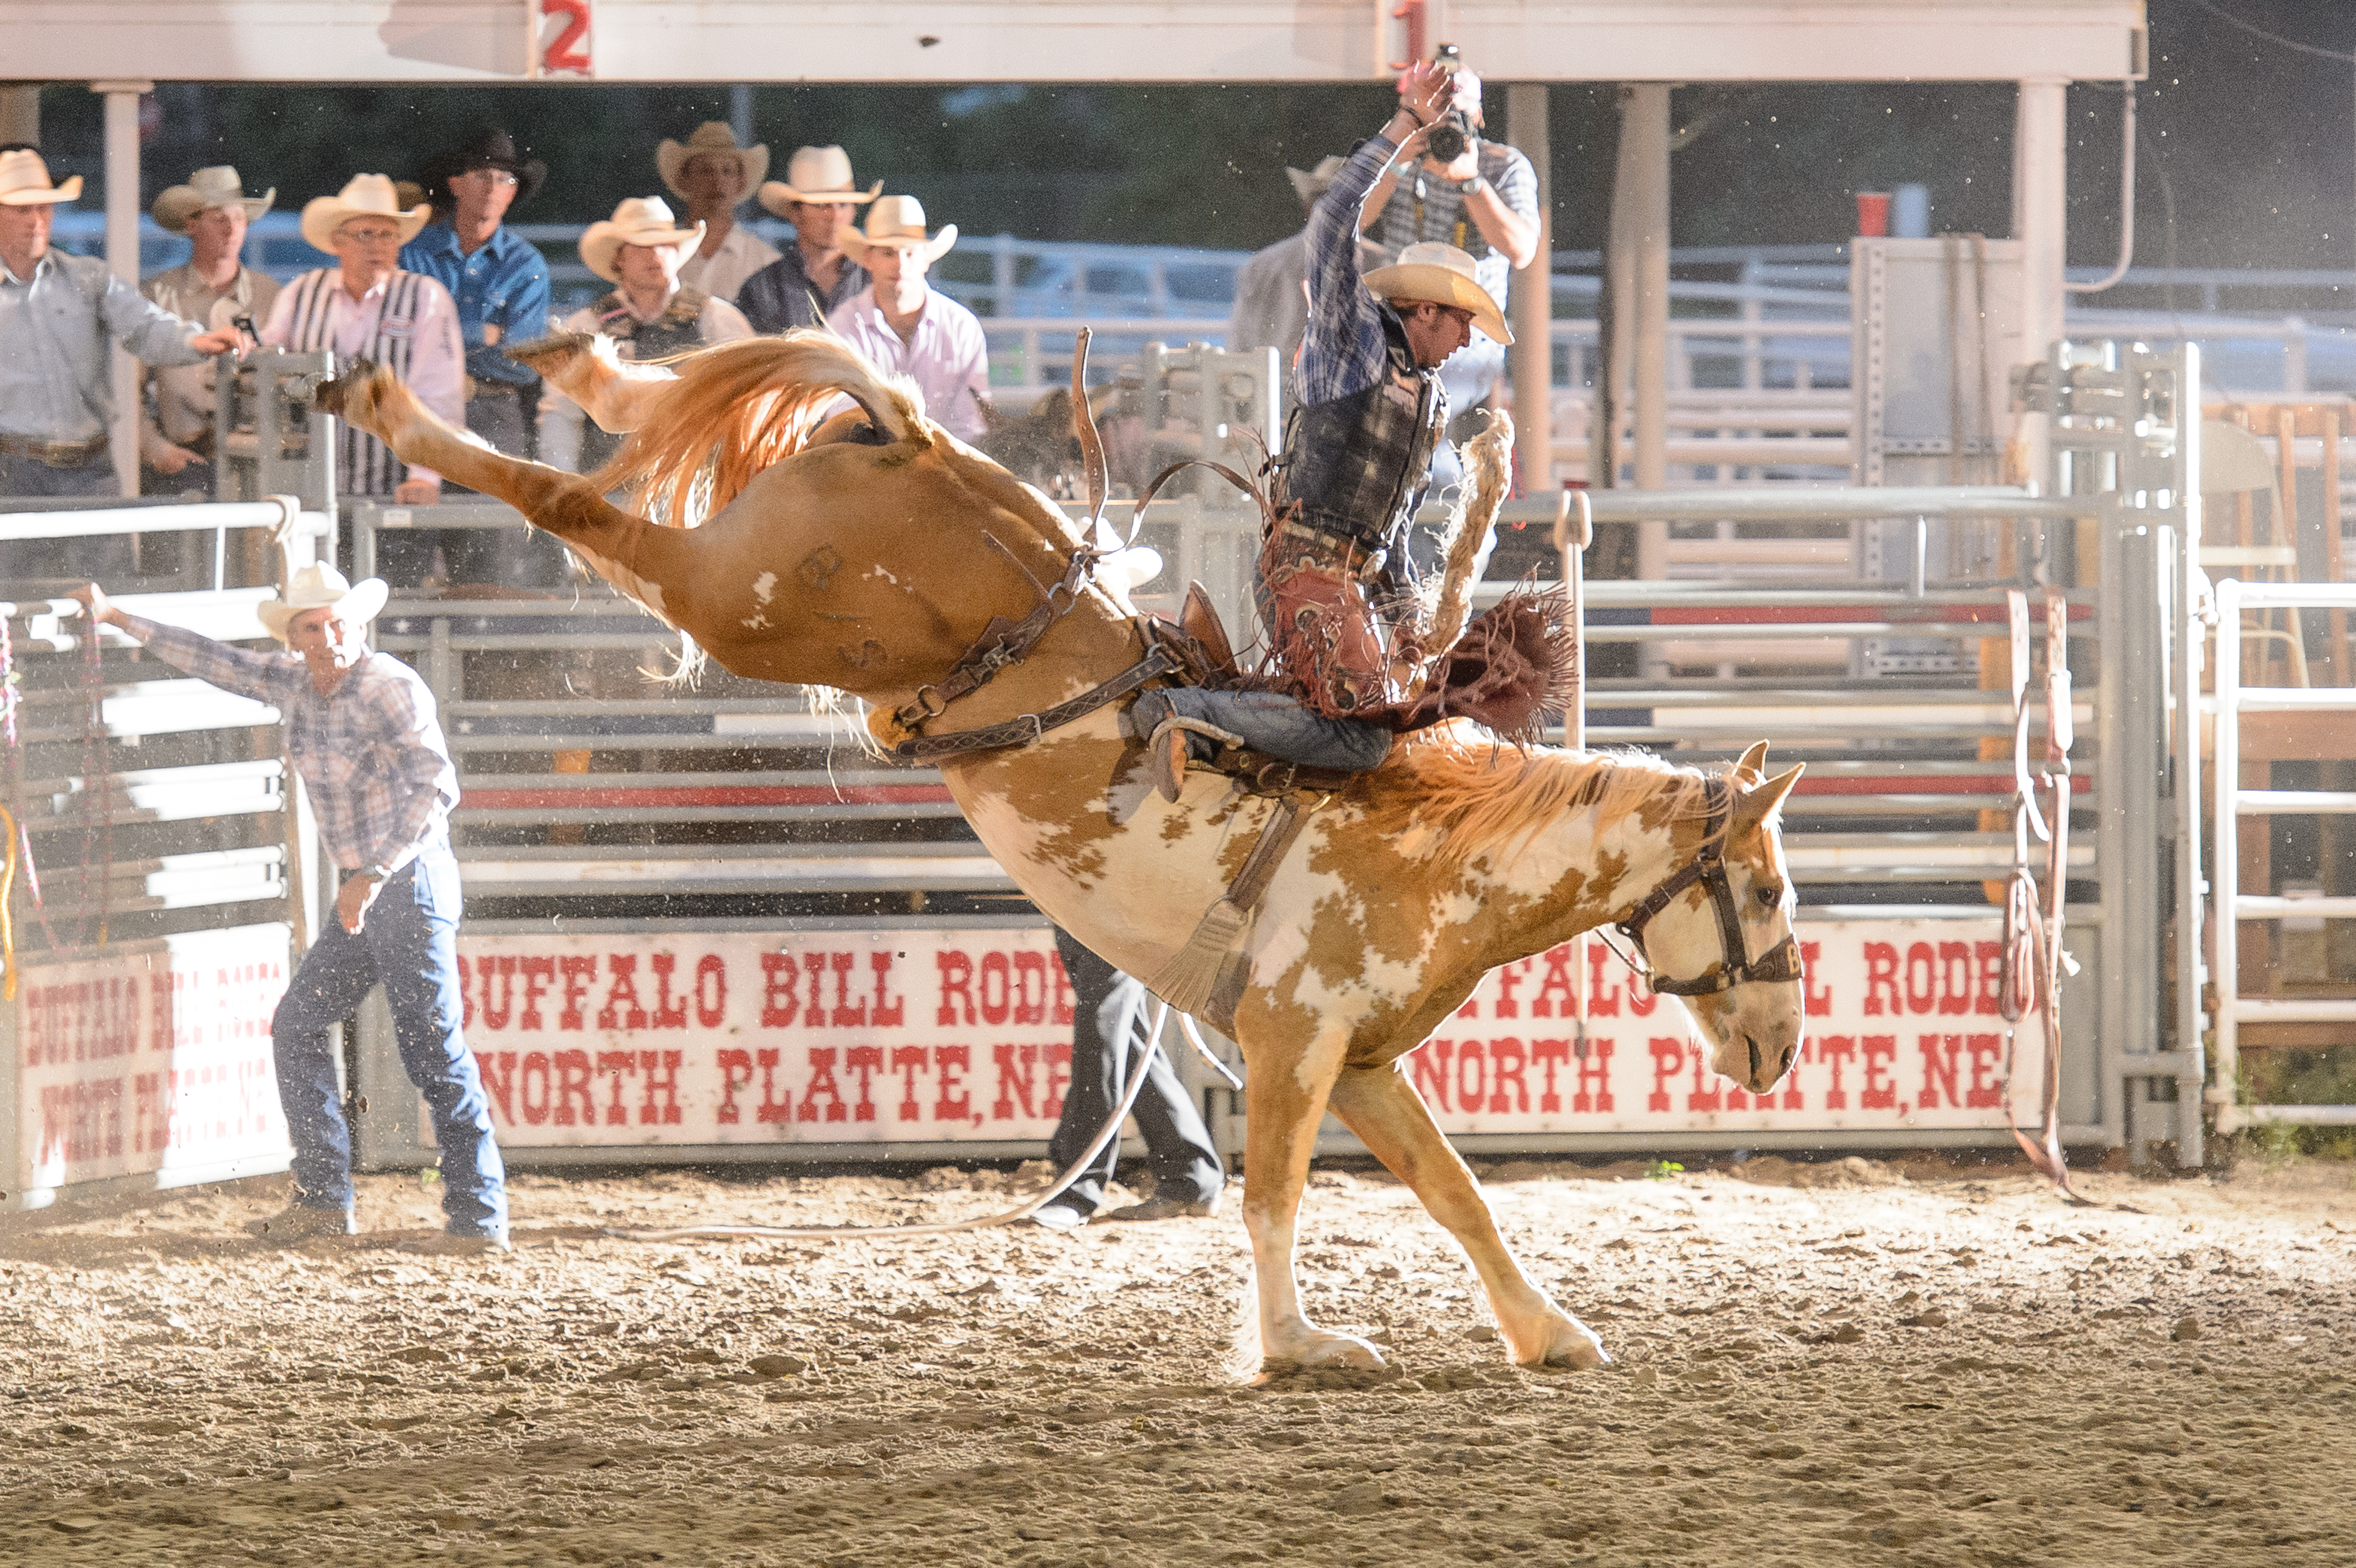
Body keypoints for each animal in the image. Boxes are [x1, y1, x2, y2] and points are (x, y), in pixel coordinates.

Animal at [322, 337, 1809, 1377]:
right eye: (1767, 883)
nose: (1785, 1045)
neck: (1431, 852)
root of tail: (921, 444)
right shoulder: (1287, 1039)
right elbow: (1273, 1196)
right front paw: (1294, 1347)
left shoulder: (1360, 1060)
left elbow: (1459, 1197)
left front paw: (1546, 1329)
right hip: (740, 601)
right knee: (582, 509)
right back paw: (393, 407)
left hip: (762, 577)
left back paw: (579, 363)